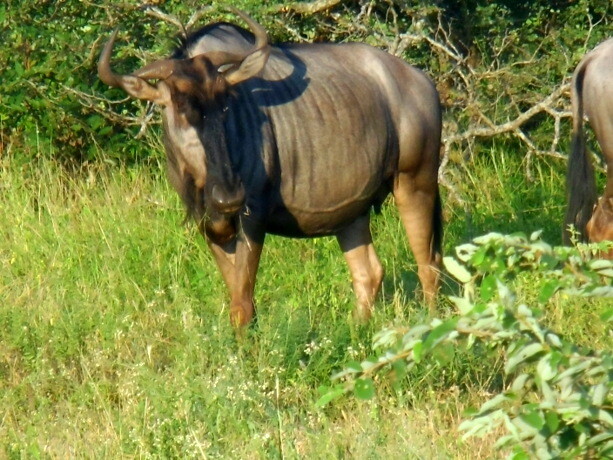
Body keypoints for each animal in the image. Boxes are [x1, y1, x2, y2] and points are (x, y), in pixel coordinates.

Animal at [95, 9, 442, 326]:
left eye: (226, 103)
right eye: (180, 106)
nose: (229, 196)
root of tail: (423, 82)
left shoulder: (252, 218)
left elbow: (243, 306)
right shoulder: (210, 225)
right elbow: (239, 301)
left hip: (415, 184)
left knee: (428, 265)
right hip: (353, 214)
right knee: (368, 273)